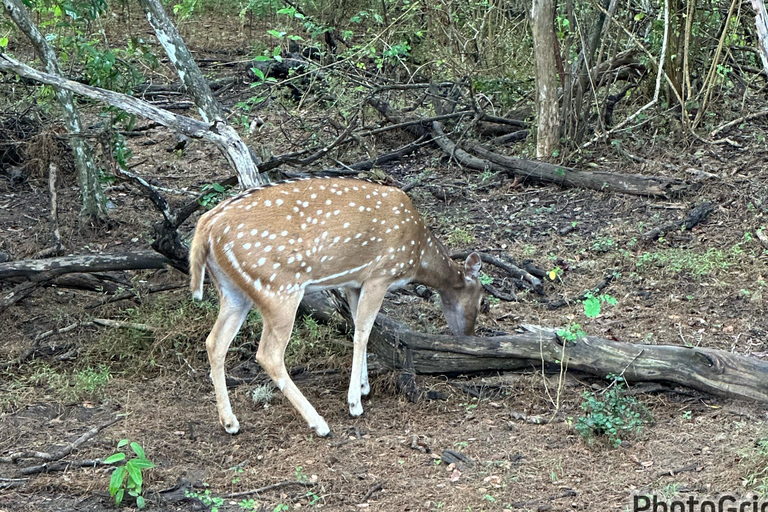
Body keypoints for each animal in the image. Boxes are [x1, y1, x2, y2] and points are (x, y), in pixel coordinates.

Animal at [191, 177, 480, 436]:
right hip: (278, 288)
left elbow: (359, 326)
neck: (418, 255)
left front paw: (363, 386)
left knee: (214, 342)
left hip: (232, 291)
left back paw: (230, 423)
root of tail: (206, 227)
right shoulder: (381, 274)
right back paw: (319, 424)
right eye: (481, 301)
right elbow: (363, 332)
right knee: (268, 354)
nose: (467, 335)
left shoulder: (354, 282)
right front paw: (355, 403)